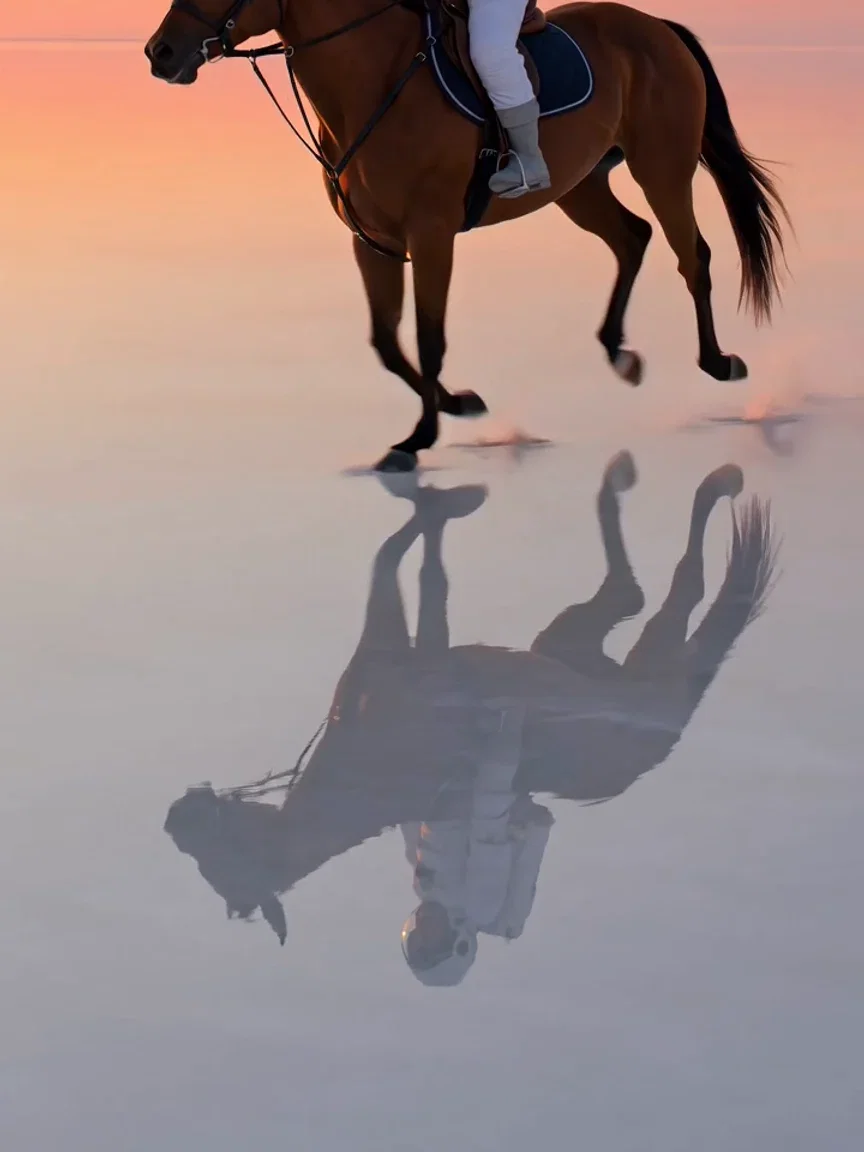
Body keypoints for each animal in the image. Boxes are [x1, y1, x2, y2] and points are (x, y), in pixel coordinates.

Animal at [145, 0, 790, 472]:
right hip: (577, 184)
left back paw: (718, 362)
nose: (160, 52)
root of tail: (658, 27)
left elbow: (429, 338)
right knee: (633, 238)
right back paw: (619, 352)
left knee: (693, 256)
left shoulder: (431, 234)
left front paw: (419, 437)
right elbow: (386, 343)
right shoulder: (373, 240)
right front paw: (456, 405)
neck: (374, 80)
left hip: (662, 167)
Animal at [164, 456, 779, 950]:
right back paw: (690, 481)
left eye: (217, 857)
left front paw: (444, 495)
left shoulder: (401, 640)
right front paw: (446, 498)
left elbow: (403, 552)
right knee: (653, 591)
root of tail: (670, 733)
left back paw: (701, 481)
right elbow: (410, 561)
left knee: (667, 587)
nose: (179, 811)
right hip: (592, 648)